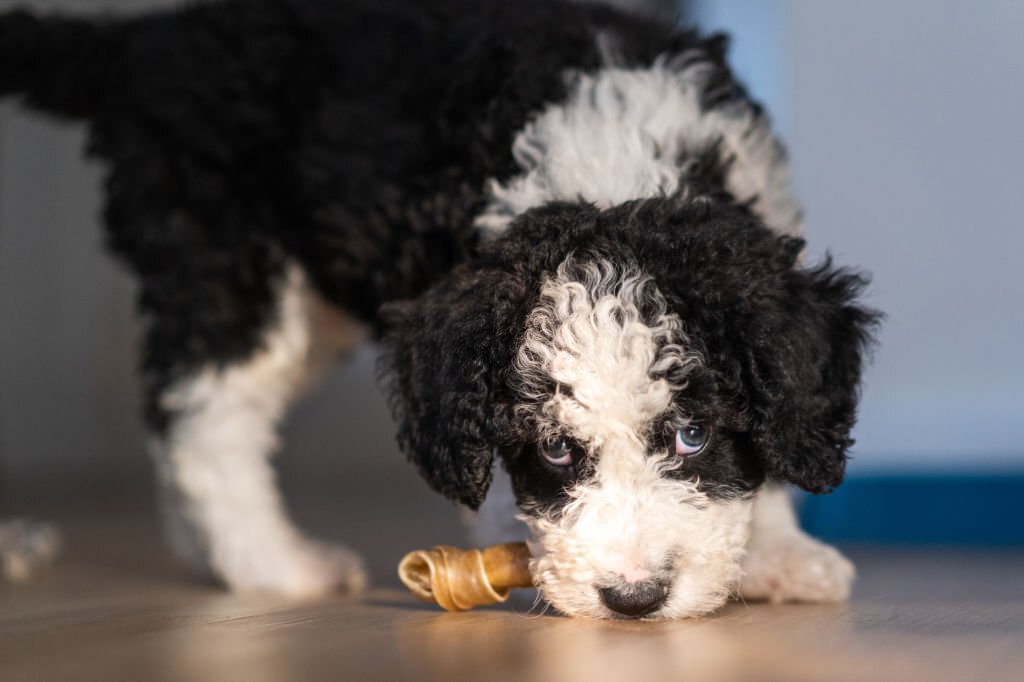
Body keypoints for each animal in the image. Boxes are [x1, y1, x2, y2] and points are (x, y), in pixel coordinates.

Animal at [2, 0, 880, 614]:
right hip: (230, 260)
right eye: (555, 451)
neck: (613, 165)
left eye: (693, 435)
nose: (633, 600)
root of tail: (151, 42)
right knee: (206, 418)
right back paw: (273, 563)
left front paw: (776, 552)